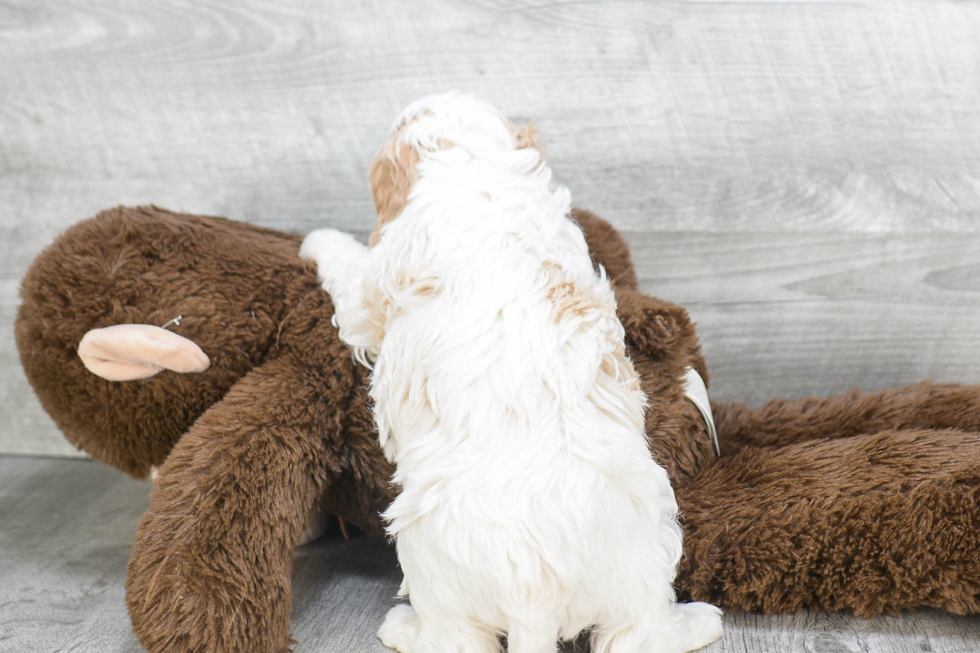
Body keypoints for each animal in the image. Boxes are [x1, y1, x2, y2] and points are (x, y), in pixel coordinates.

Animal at [302, 91, 724, 652]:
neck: (477, 171)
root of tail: (535, 601)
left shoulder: (370, 292)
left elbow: (345, 265)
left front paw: (315, 238)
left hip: (428, 563)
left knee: (453, 639)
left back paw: (402, 628)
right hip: (649, 544)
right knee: (640, 634)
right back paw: (700, 623)